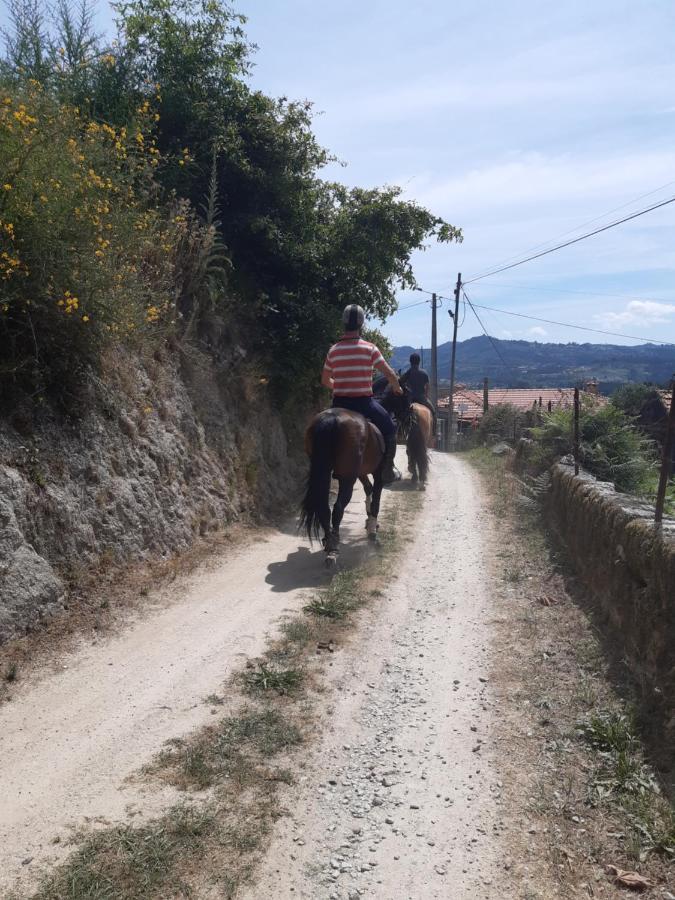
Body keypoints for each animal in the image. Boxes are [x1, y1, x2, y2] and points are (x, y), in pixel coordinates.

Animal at [302, 410, 386, 568]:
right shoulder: (377, 472)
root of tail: (331, 418)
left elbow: (368, 488)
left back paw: (329, 543)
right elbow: (376, 498)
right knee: (339, 506)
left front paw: (369, 522)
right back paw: (333, 549)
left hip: (323, 471)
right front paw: (372, 530)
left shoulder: (361, 473)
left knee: (324, 507)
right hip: (348, 477)